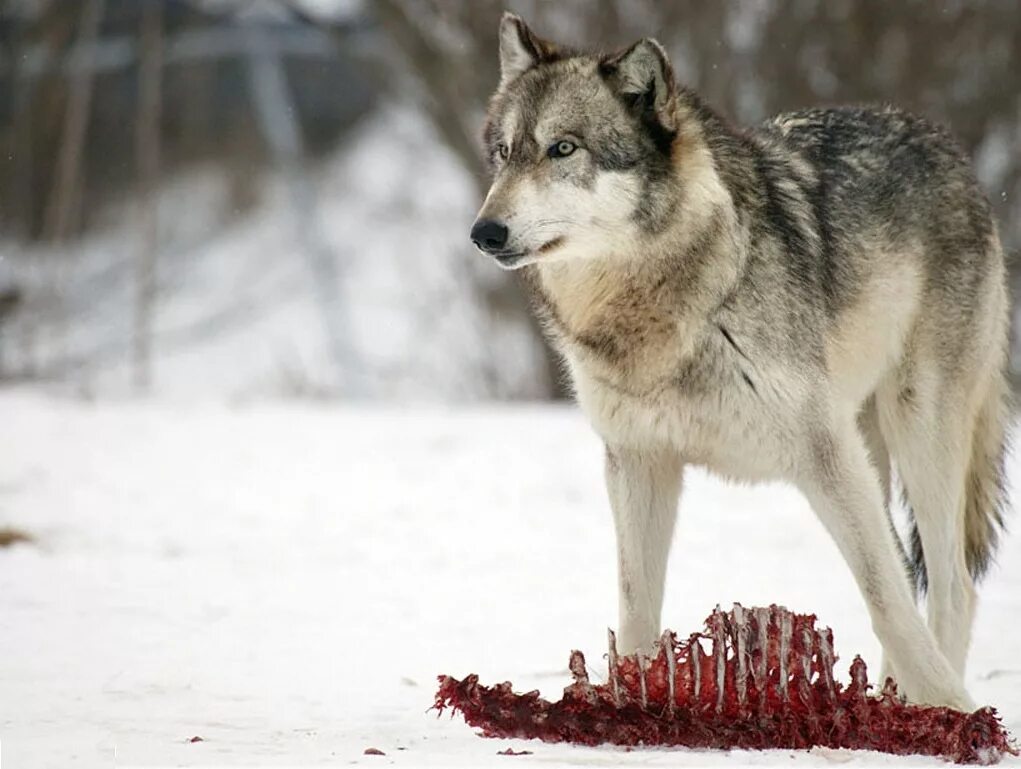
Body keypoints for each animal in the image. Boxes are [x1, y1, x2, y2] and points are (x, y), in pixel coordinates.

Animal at [469, 13, 1012, 706]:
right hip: (872, 448)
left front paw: (958, 714)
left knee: (948, 587)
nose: (484, 233)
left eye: (563, 149)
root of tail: (946, 145)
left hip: (917, 428)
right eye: (505, 153)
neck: (660, 306)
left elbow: (888, 603)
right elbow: (637, 614)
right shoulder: (638, 461)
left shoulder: (825, 456)